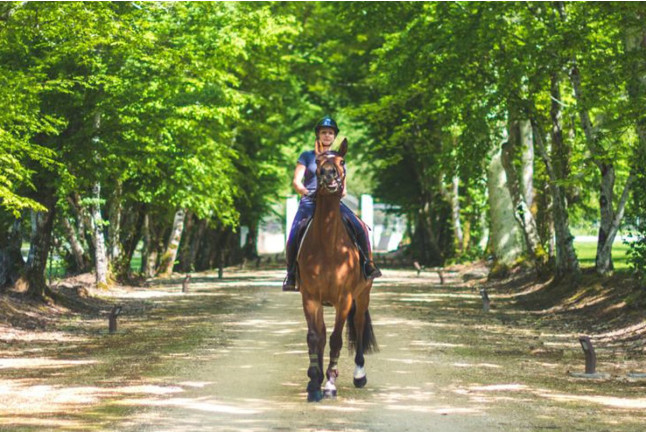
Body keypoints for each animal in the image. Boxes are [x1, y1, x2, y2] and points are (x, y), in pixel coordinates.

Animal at [295, 138, 378, 402]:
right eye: (318, 161)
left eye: (342, 162)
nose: (329, 175)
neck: (328, 246)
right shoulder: (310, 297)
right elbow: (315, 338)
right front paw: (314, 382)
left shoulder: (344, 299)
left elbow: (335, 340)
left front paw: (330, 385)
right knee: (322, 334)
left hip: (362, 296)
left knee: (359, 327)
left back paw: (359, 375)